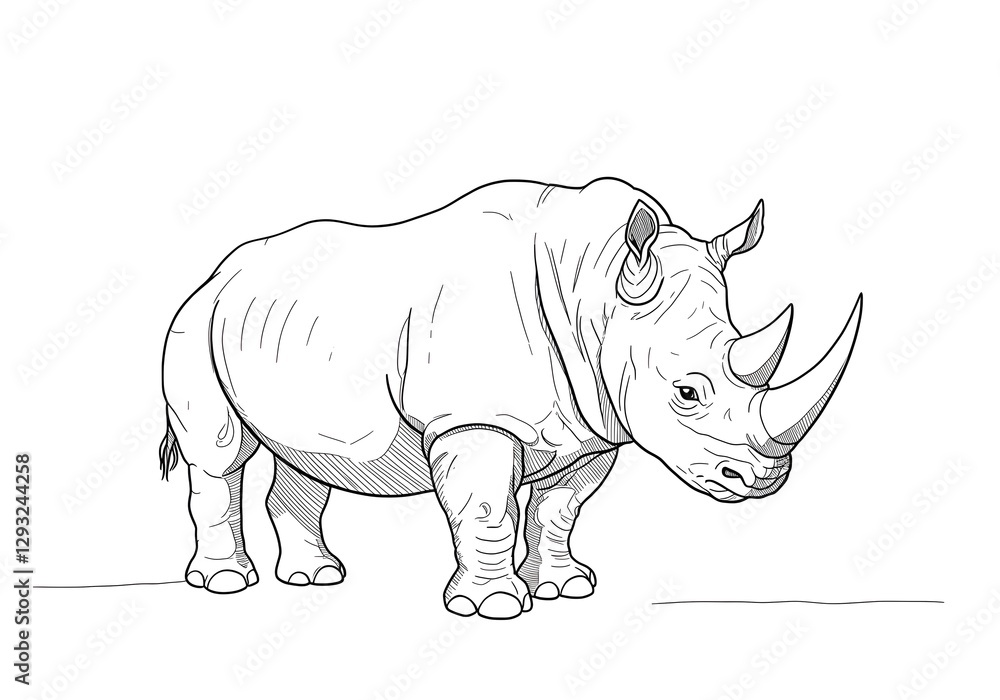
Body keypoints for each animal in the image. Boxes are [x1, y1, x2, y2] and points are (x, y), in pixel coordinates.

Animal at [159, 177, 861, 619]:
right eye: (687, 392)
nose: (764, 479)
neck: (595, 293)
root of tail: (219, 271)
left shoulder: (590, 422)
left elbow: (560, 509)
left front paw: (565, 588)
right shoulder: (474, 421)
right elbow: (485, 508)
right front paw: (492, 607)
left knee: (304, 460)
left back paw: (315, 578)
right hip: (194, 321)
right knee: (218, 454)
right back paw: (226, 583)